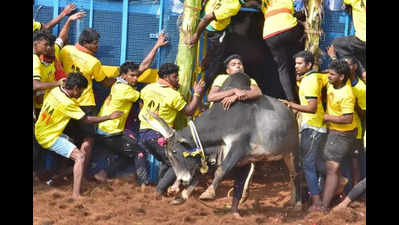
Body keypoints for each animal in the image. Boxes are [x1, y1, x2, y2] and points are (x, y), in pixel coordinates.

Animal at [144, 72, 304, 213]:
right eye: (168, 156)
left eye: (175, 151)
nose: (182, 180)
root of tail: (291, 112)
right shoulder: (212, 155)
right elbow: (199, 175)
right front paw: (181, 196)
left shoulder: (238, 146)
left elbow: (222, 170)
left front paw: (207, 193)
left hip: (292, 152)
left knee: (296, 174)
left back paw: (298, 204)